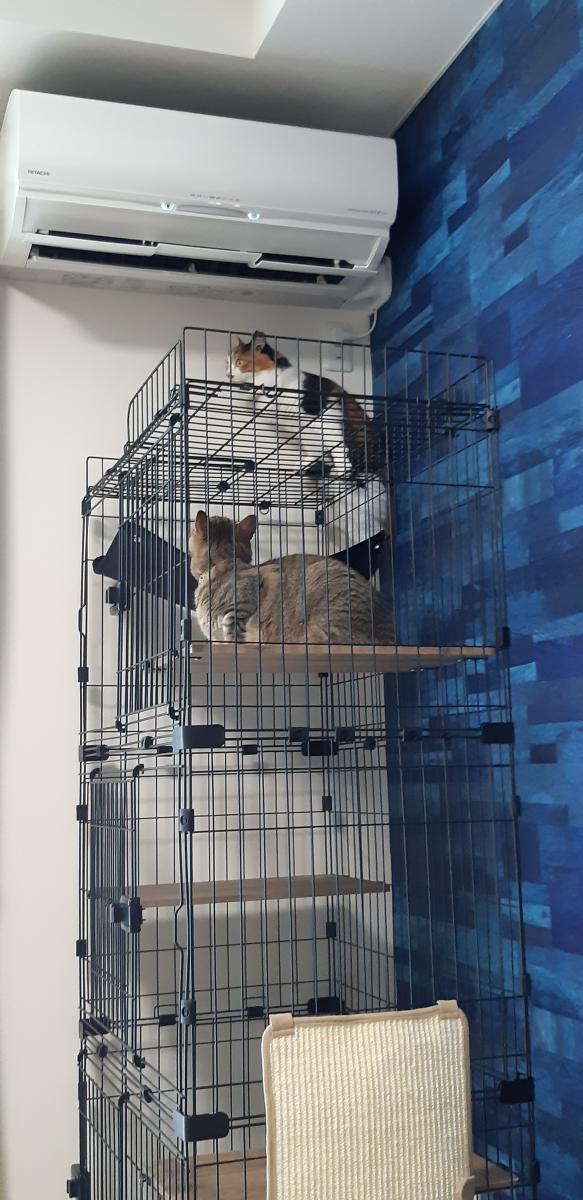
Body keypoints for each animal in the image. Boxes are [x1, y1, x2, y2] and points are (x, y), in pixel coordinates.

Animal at [227, 333, 389, 483]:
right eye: (227, 364)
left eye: (239, 362)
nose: (228, 374)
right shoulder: (299, 426)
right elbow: (316, 450)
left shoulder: (322, 414)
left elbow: (336, 446)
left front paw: (343, 468)